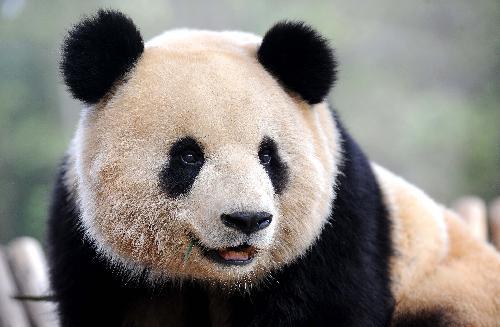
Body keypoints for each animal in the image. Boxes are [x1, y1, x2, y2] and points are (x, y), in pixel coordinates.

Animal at [47, 9, 500, 326]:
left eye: (268, 156)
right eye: (188, 156)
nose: (247, 219)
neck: (220, 279)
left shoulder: (336, 227)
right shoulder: (92, 252)